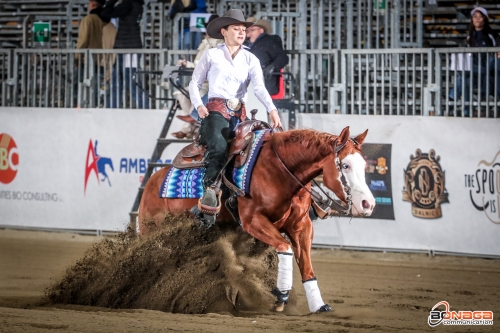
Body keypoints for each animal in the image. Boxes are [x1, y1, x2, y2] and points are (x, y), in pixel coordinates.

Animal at [139, 126, 374, 312]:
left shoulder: (301, 226)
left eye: (363, 166)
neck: (281, 172)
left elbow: (307, 266)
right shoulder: (253, 221)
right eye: (345, 165)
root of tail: (151, 181)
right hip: (152, 231)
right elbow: (284, 248)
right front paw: (281, 295)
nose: (368, 204)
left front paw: (318, 305)